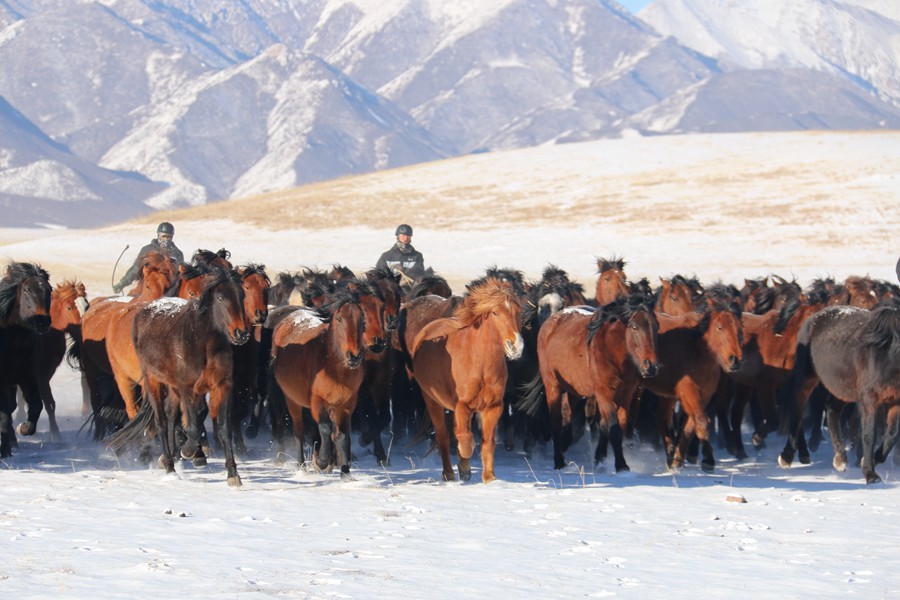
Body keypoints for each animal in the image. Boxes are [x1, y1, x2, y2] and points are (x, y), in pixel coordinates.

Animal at [0, 262, 52, 454]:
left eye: (49, 290)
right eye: (27, 290)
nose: (42, 321)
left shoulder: (27, 378)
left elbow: (37, 405)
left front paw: (24, 428)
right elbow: (4, 416)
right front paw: (4, 451)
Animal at [268, 288, 368, 476]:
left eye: (362, 320)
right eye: (339, 319)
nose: (354, 356)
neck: (334, 369)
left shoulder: (346, 404)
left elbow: (342, 436)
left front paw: (345, 472)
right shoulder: (317, 401)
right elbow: (325, 428)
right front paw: (322, 462)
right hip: (291, 399)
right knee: (299, 431)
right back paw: (301, 464)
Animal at [412, 278, 524, 482]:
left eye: (518, 311)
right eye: (495, 312)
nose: (516, 346)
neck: (480, 363)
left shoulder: (493, 407)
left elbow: (488, 442)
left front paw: (489, 478)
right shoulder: (462, 405)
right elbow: (465, 438)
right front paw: (464, 464)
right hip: (432, 401)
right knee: (442, 435)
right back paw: (449, 473)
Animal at [516, 294, 656, 474]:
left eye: (656, 326)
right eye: (634, 326)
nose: (651, 366)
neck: (611, 352)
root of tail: (551, 321)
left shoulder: (626, 395)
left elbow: (615, 425)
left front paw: (601, 459)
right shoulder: (604, 393)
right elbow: (614, 428)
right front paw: (621, 465)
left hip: (575, 391)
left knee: (571, 416)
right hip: (552, 385)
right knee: (556, 420)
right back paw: (559, 460)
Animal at [776, 302, 900, 486]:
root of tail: (812, 319)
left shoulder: (896, 401)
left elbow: (892, 435)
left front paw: (870, 461)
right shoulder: (869, 399)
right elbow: (869, 435)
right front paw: (870, 474)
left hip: (841, 388)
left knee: (831, 411)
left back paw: (840, 459)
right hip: (806, 379)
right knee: (797, 410)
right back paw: (787, 456)